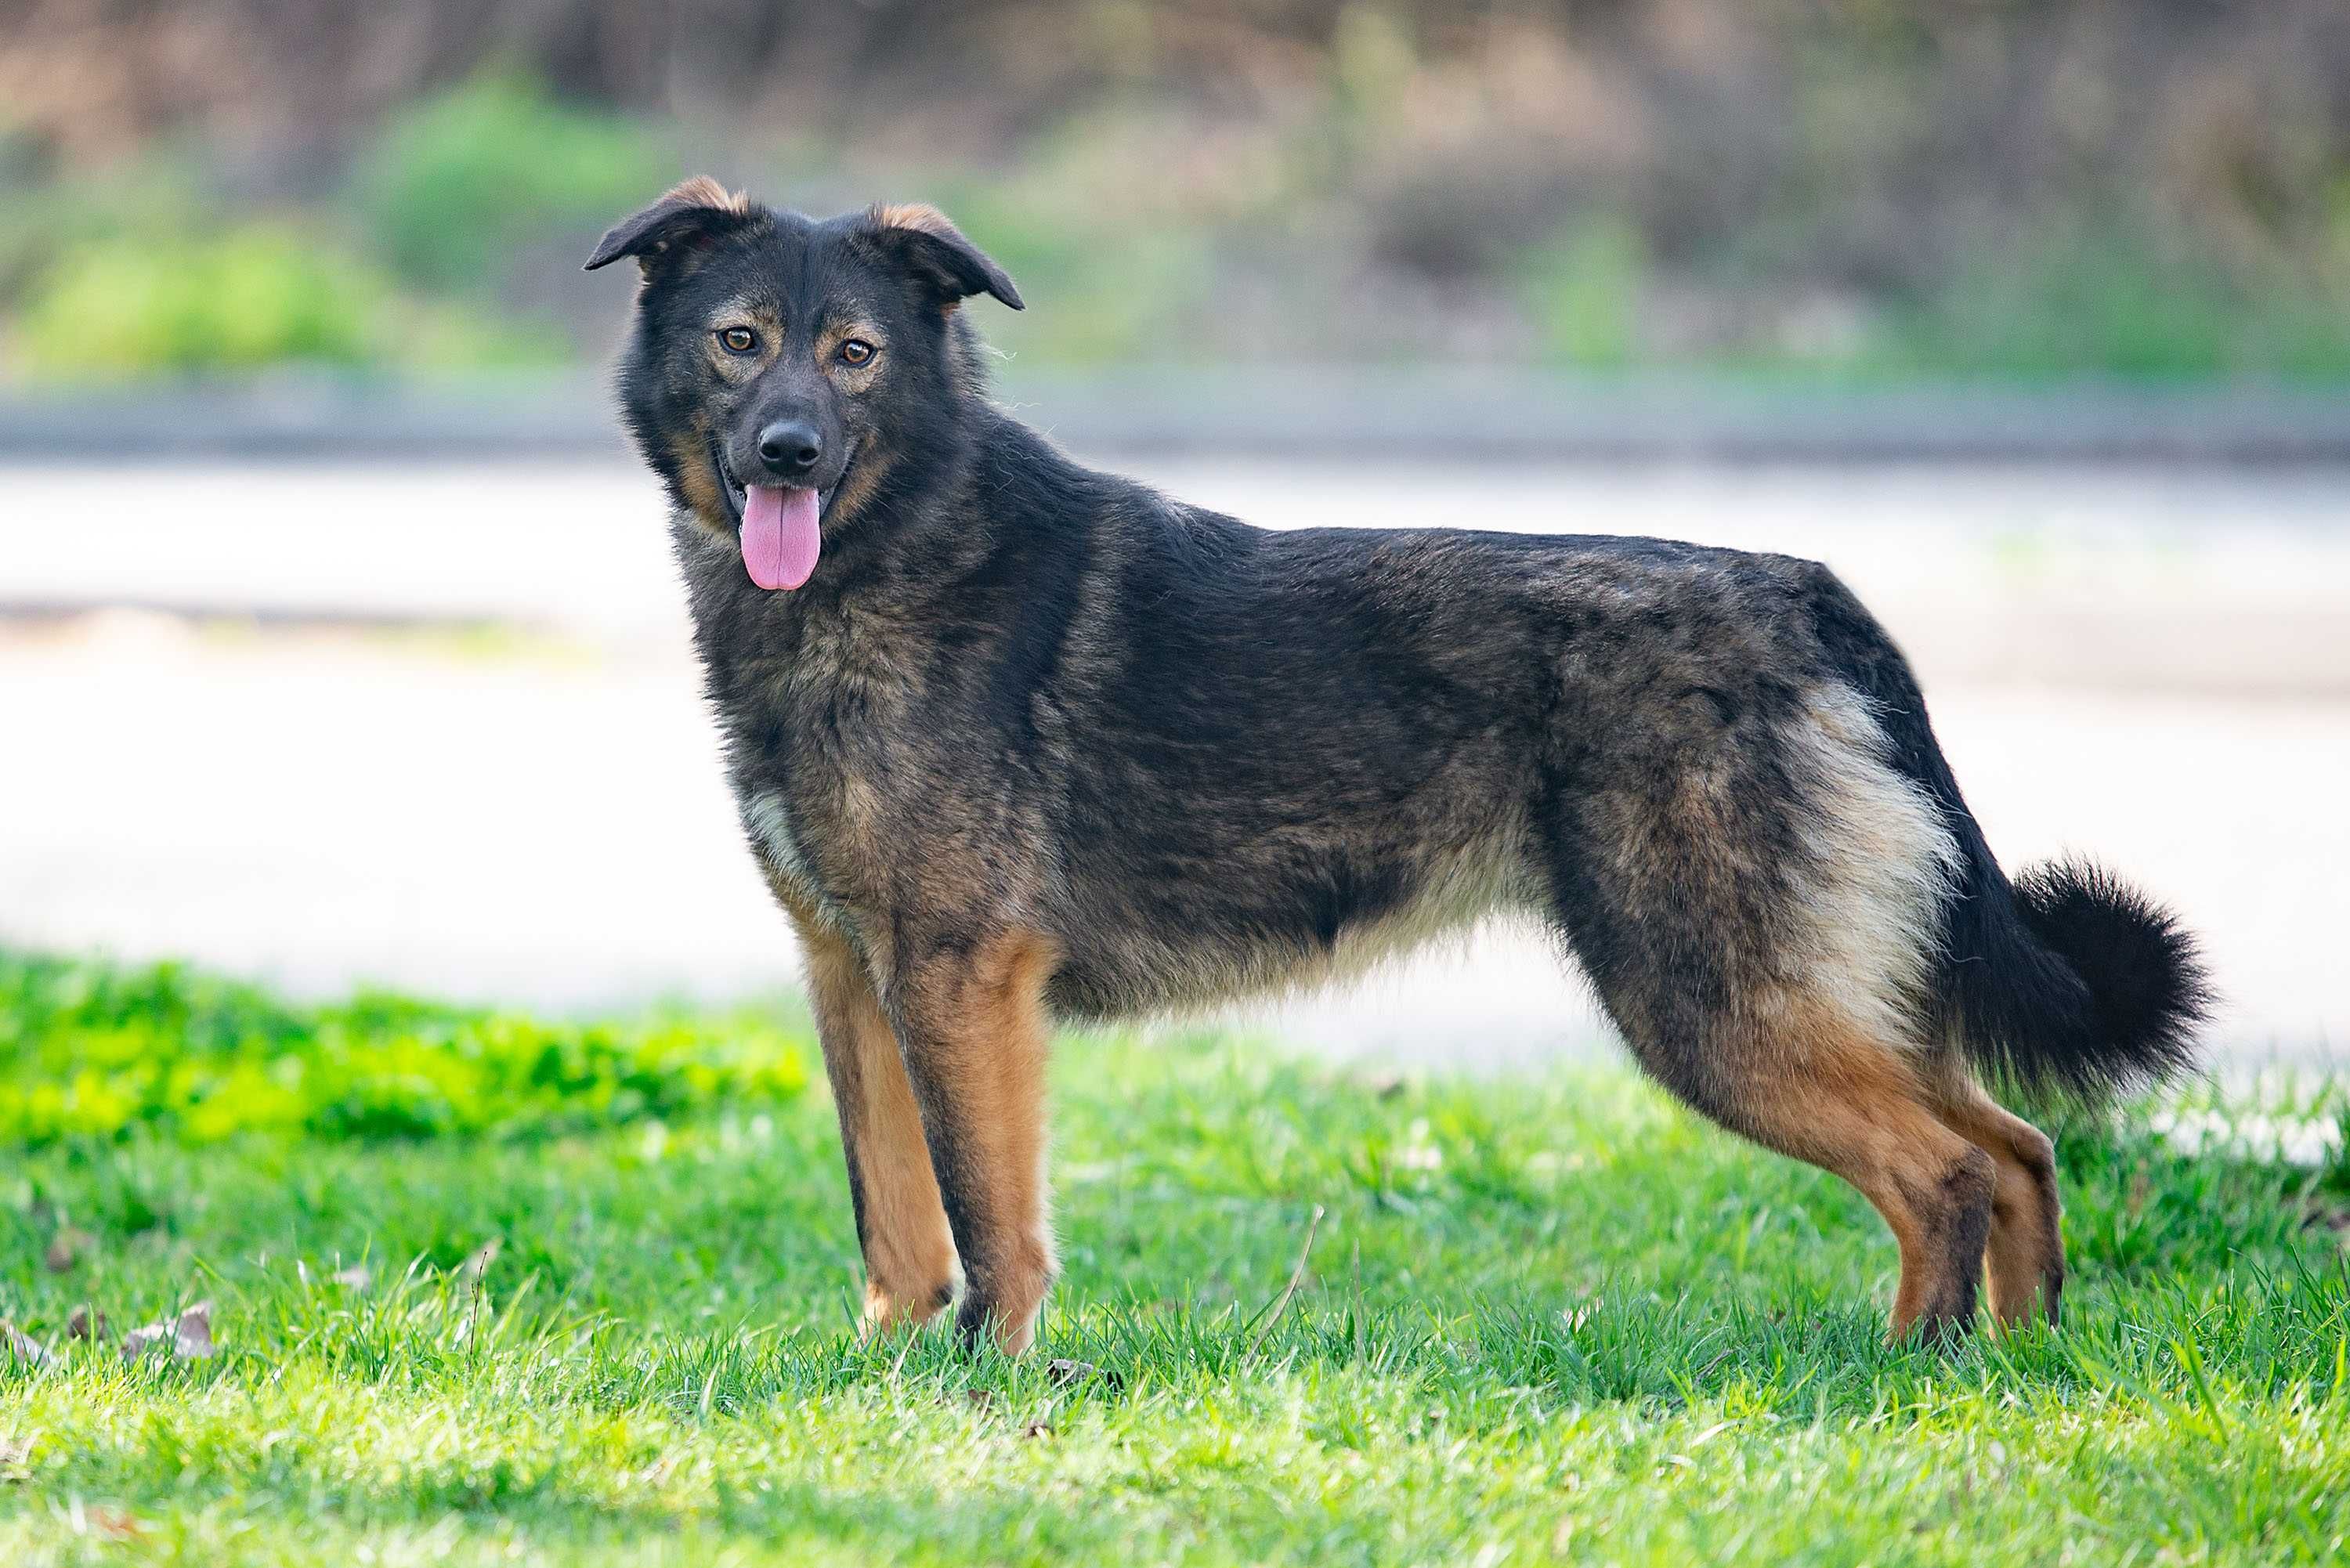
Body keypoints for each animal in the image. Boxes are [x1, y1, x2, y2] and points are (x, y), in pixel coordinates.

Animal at [588, 184, 2200, 1353]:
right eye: (741, 341)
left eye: (854, 354)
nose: (788, 453)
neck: (896, 548)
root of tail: (1808, 593)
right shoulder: (855, 975)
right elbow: (898, 1227)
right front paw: (891, 1375)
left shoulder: (957, 980)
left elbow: (989, 1223)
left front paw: (989, 1381)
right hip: (1817, 993)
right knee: (2017, 1149)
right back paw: (2021, 1365)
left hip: (1709, 1006)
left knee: (1942, 1172)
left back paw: (1912, 1369)